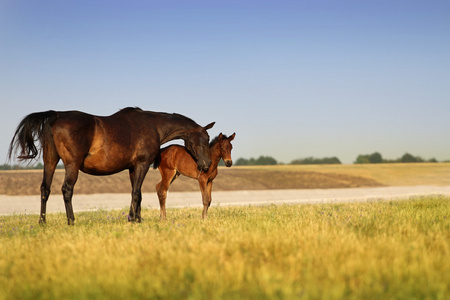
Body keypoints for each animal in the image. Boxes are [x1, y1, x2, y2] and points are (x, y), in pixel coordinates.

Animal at [7, 106, 215, 224]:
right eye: (205, 139)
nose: (205, 165)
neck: (153, 126)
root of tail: (55, 116)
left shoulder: (133, 168)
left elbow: (136, 194)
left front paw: (136, 218)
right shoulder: (142, 165)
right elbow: (136, 193)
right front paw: (134, 220)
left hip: (50, 161)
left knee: (45, 189)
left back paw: (42, 222)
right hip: (72, 165)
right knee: (66, 189)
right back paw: (71, 221)